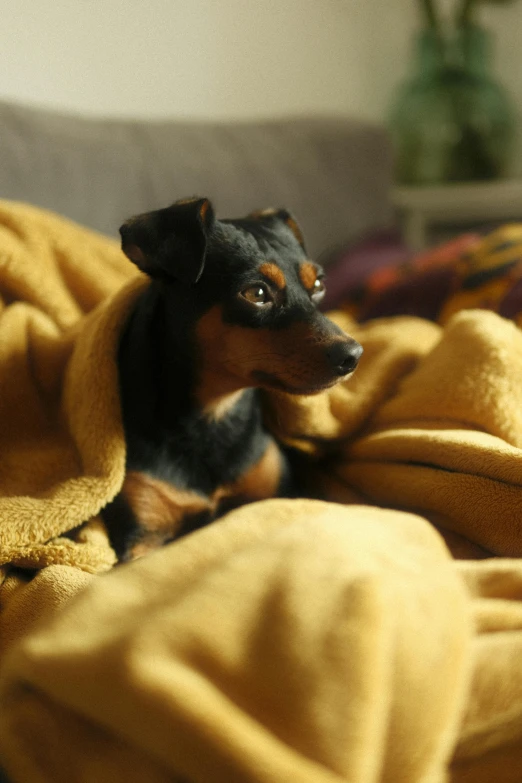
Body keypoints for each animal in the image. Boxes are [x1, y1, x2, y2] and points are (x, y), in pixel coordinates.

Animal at [101, 199, 362, 560]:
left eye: (319, 286)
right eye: (256, 293)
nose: (353, 355)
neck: (215, 413)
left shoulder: (275, 496)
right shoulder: (143, 536)